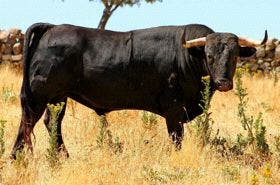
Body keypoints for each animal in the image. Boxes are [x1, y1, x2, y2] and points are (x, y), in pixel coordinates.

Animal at [9, 23, 266, 158]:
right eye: (209, 55)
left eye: (234, 56)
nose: (223, 83)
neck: (188, 56)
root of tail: (52, 27)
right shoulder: (174, 110)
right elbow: (176, 139)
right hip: (39, 96)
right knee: (27, 123)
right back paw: (17, 158)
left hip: (58, 97)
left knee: (52, 122)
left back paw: (62, 157)